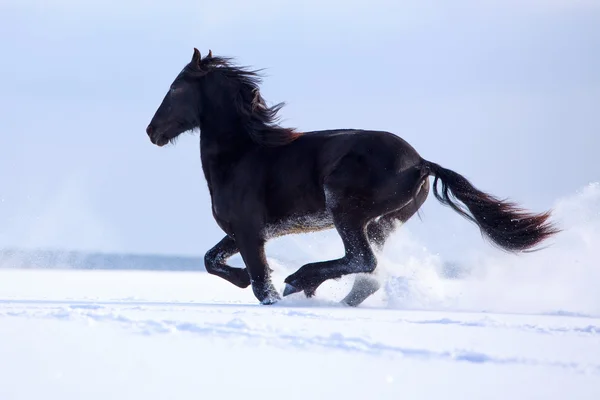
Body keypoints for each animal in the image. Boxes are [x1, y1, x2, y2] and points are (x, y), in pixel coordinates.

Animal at [145, 50, 556, 306]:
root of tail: (420, 163)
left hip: (348, 212)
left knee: (362, 261)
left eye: (176, 87)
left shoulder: (249, 231)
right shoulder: (243, 231)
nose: (152, 132)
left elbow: (261, 284)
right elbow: (211, 259)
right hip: (384, 222)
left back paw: (300, 281)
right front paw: (244, 278)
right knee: (367, 275)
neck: (244, 153)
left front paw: (270, 287)